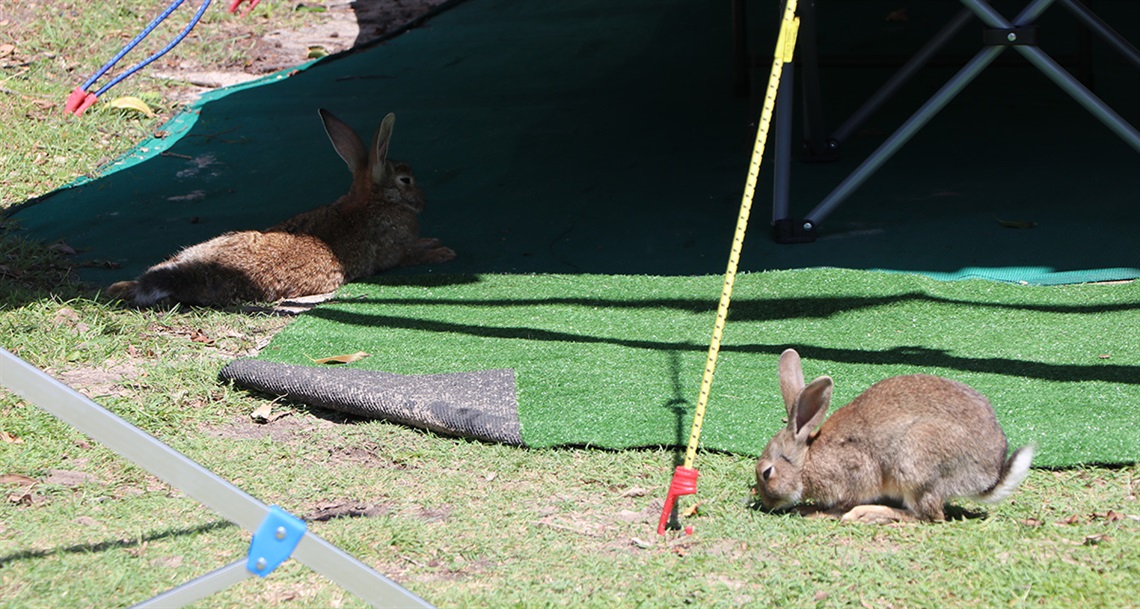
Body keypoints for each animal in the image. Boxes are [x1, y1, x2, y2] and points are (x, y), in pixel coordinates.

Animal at [106, 110, 453, 307]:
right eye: (406, 180)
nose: (423, 201)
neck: (374, 200)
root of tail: (190, 274)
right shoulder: (395, 253)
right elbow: (412, 254)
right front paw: (442, 252)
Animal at [756, 351, 1035, 522]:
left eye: (767, 473)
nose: (767, 504)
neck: (807, 460)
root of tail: (987, 477)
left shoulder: (855, 475)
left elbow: (840, 503)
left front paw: (814, 511)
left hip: (915, 463)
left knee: (926, 516)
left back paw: (866, 514)